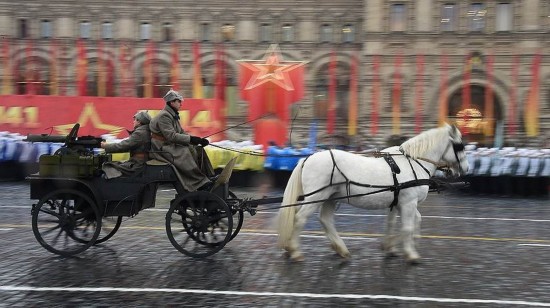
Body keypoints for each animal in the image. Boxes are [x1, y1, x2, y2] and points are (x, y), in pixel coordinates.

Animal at [278, 124, 468, 264]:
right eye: (460, 145)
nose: (465, 169)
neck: (413, 163)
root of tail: (307, 158)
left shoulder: (399, 203)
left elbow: (400, 223)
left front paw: (391, 246)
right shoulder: (408, 202)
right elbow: (407, 227)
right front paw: (411, 254)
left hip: (331, 197)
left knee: (325, 220)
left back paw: (341, 250)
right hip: (316, 197)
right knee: (300, 218)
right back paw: (295, 251)